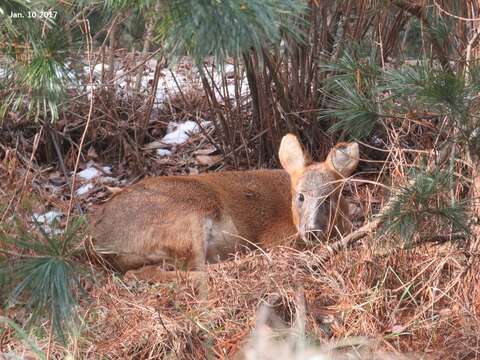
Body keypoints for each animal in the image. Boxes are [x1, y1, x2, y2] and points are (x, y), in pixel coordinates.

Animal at [92, 134, 358, 280]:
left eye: (333, 195)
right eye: (300, 196)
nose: (313, 231)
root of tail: (97, 243)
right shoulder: (277, 236)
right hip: (190, 212)